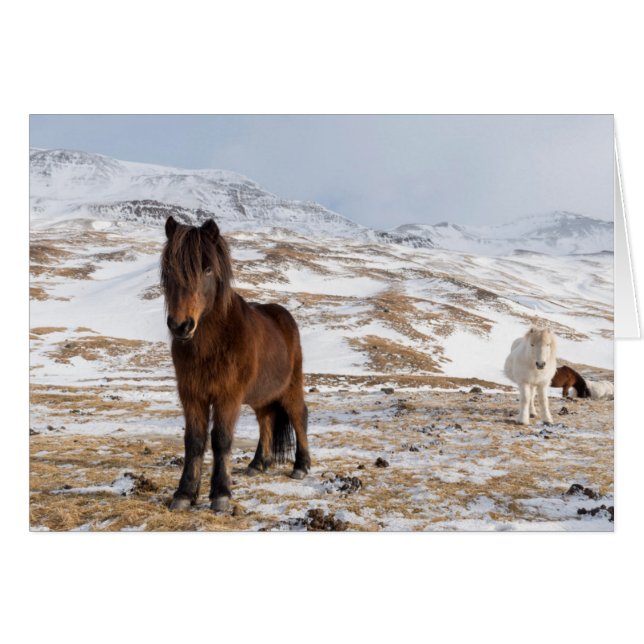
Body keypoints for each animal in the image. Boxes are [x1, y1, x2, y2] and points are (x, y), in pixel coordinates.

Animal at [161, 216, 311, 512]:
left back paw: (301, 466)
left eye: (207, 268)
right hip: (262, 396)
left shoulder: (227, 396)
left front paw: (220, 495)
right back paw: (258, 464)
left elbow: (221, 439)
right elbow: (194, 441)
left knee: (299, 416)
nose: (181, 326)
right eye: (169, 267)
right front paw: (184, 494)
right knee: (266, 420)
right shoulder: (191, 395)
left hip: (290, 387)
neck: (210, 343)